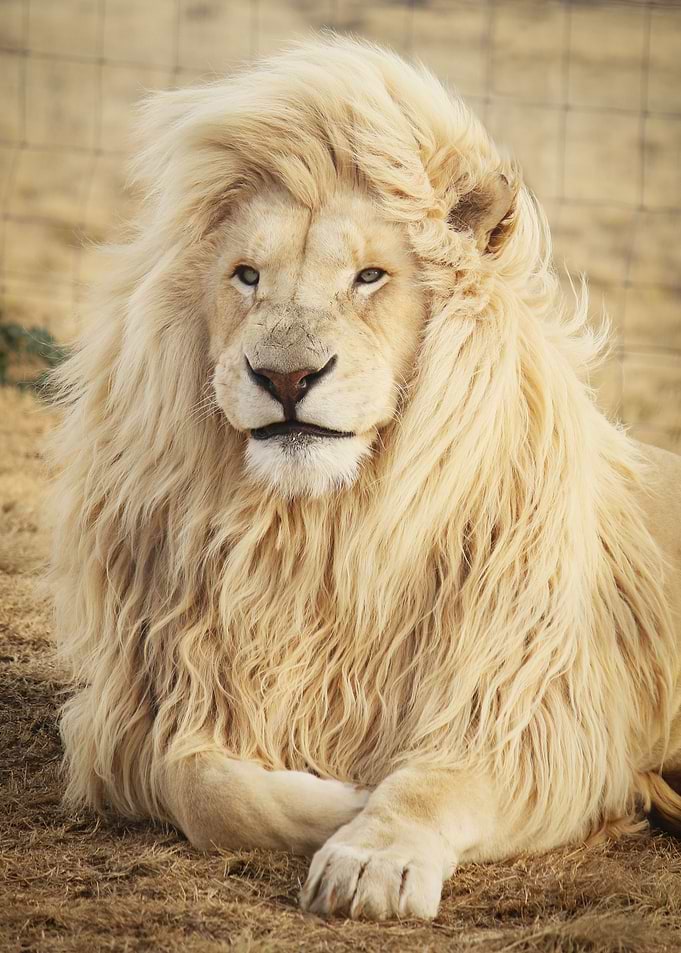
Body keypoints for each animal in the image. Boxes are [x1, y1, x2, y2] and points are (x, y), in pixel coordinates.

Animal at [50, 36, 681, 922]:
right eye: (246, 275)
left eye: (370, 277)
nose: (284, 376)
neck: (318, 532)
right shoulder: (146, 707)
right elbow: (201, 783)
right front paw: (339, 799)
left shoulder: (531, 716)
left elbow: (429, 783)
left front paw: (369, 853)